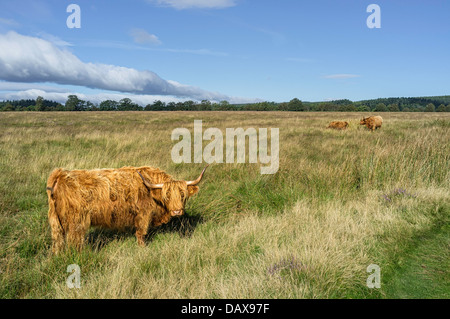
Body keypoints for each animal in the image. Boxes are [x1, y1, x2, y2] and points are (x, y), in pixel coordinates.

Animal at [46, 165, 208, 255]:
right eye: (166, 195)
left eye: (182, 194)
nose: (177, 212)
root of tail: (60, 175)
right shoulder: (143, 215)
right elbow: (141, 233)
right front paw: (143, 249)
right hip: (77, 222)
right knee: (74, 241)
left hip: (55, 222)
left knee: (57, 242)